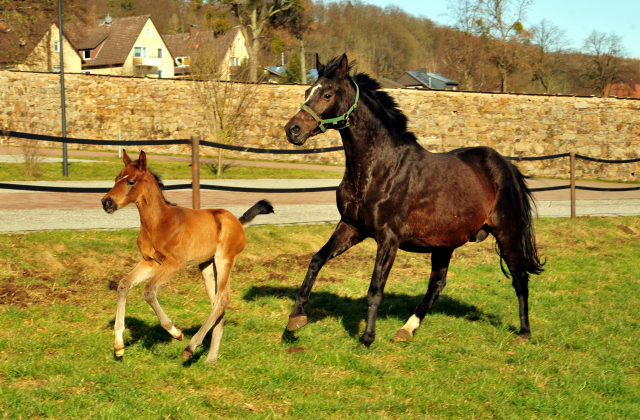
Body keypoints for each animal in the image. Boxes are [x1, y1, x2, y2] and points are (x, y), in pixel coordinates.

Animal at [103, 152, 276, 364]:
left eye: (131, 181)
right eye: (116, 179)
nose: (106, 202)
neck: (158, 223)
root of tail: (238, 221)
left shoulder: (175, 263)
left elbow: (149, 290)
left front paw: (175, 332)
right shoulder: (150, 262)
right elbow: (123, 285)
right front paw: (119, 346)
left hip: (224, 259)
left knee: (223, 298)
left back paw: (190, 348)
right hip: (207, 265)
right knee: (217, 302)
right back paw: (211, 358)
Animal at [284, 55, 544, 348]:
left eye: (327, 93)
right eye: (308, 91)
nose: (293, 130)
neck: (379, 168)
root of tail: (505, 165)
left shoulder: (389, 238)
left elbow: (375, 289)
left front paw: (366, 338)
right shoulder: (351, 227)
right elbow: (316, 260)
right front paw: (295, 319)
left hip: (507, 233)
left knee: (520, 278)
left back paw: (524, 331)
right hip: (444, 244)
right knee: (437, 285)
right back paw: (407, 328)